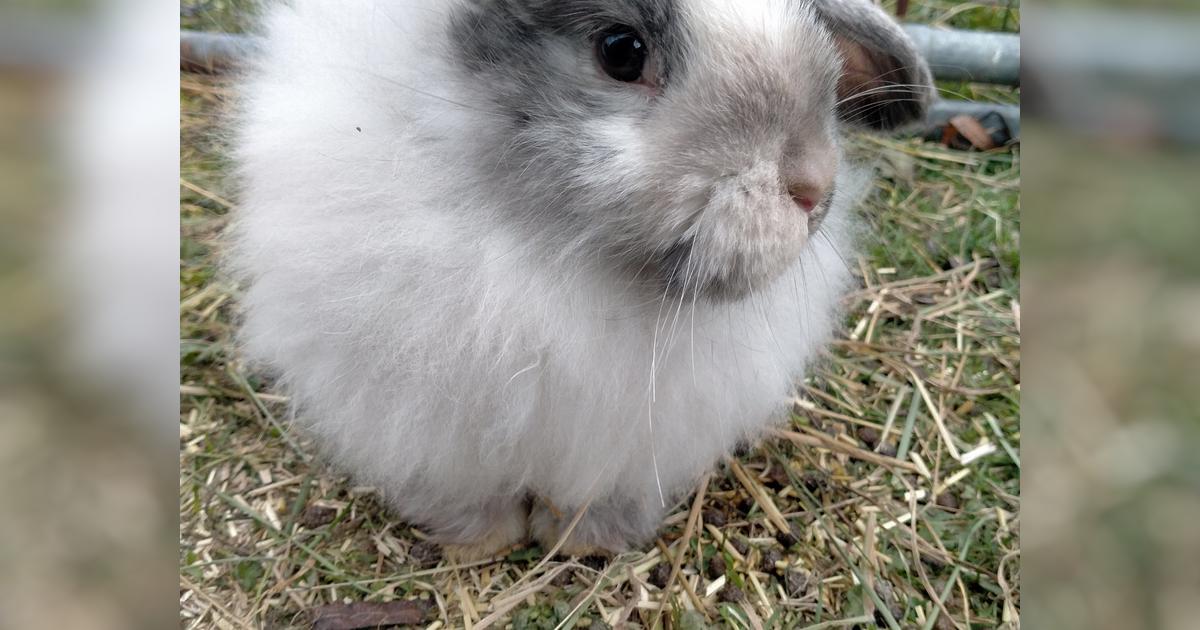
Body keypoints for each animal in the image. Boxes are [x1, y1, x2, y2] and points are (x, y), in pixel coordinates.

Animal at [230, 0, 932, 559]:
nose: (812, 186)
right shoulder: (425, 424)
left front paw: (581, 543)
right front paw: (481, 543)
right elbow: (464, 493)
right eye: (621, 51)